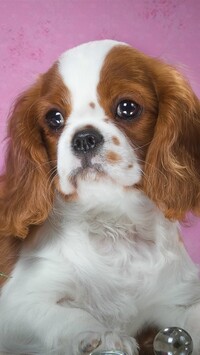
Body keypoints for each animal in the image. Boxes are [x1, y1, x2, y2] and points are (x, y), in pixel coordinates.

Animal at [0, 40, 200, 354]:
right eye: (54, 118)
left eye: (128, 108)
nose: (83, 139)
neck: (111, 218)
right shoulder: (17, 304)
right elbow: (67, 314)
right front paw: (103, 335)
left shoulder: (178, 297)